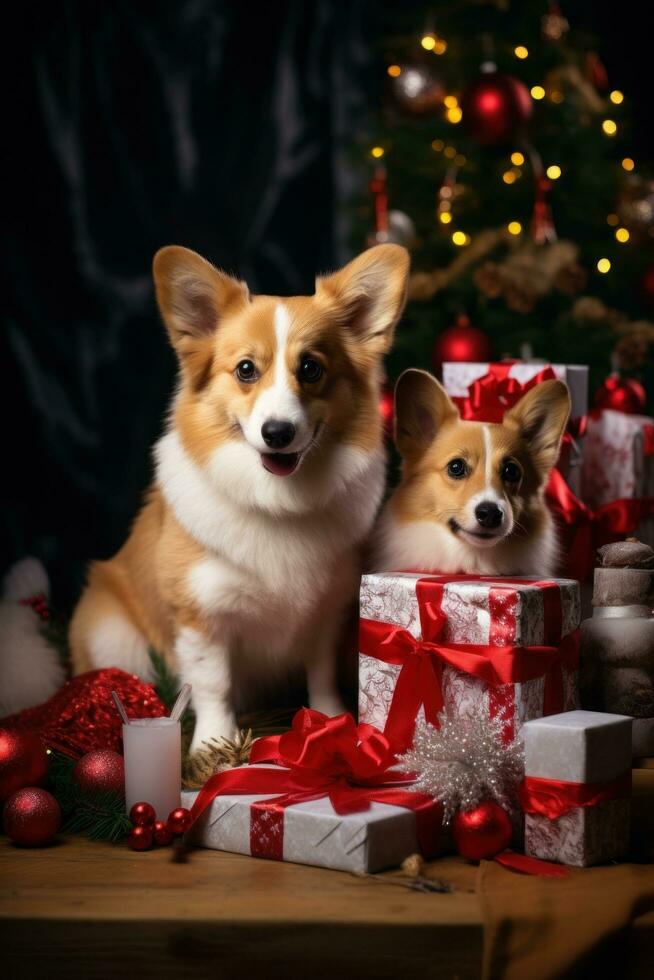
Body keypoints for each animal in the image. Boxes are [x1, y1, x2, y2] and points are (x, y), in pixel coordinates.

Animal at [70, 243, 410, 752]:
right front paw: (212, 745)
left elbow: (322, 673)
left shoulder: (328, 609)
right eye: (246, 370)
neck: (277, 501)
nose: (277, 433)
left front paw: (331, 721)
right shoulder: (200, 615)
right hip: (113, 635)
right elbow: (213, 684)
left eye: (311, 368)